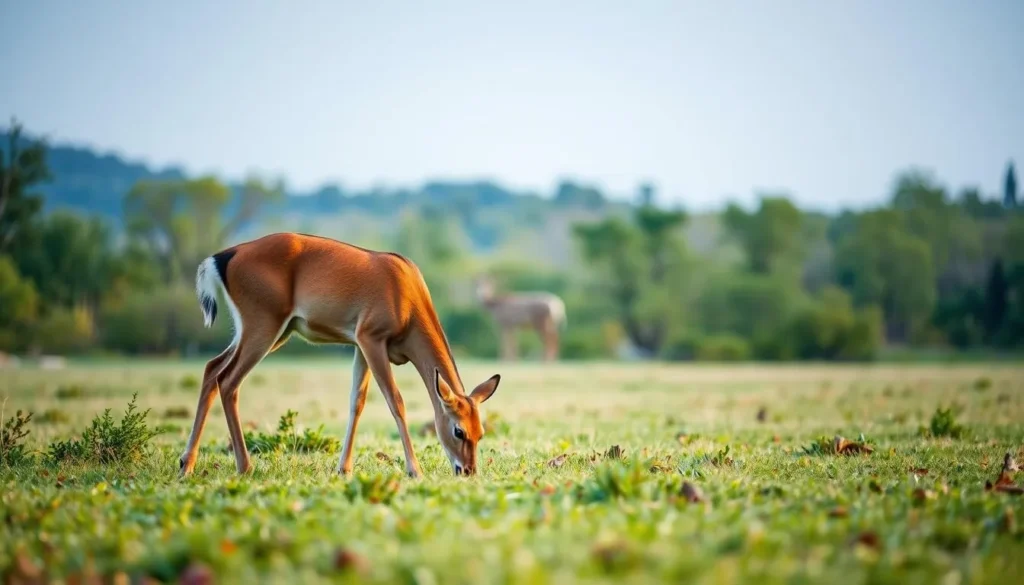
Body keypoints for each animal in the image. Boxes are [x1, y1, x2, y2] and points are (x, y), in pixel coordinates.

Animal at [181, 232, 501, 478]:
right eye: (459, 431)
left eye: (480, 432)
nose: (468, 471)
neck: (406, 296)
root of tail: (227, 255)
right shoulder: (371, 340)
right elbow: (395, 401)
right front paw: (415, 470)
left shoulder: (360, 348)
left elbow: (356, 402)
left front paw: (343, 469)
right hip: (263, 328)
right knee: (228, 381)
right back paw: (244, 466)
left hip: (268, 333)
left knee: (211, 369)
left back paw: (187, 464)